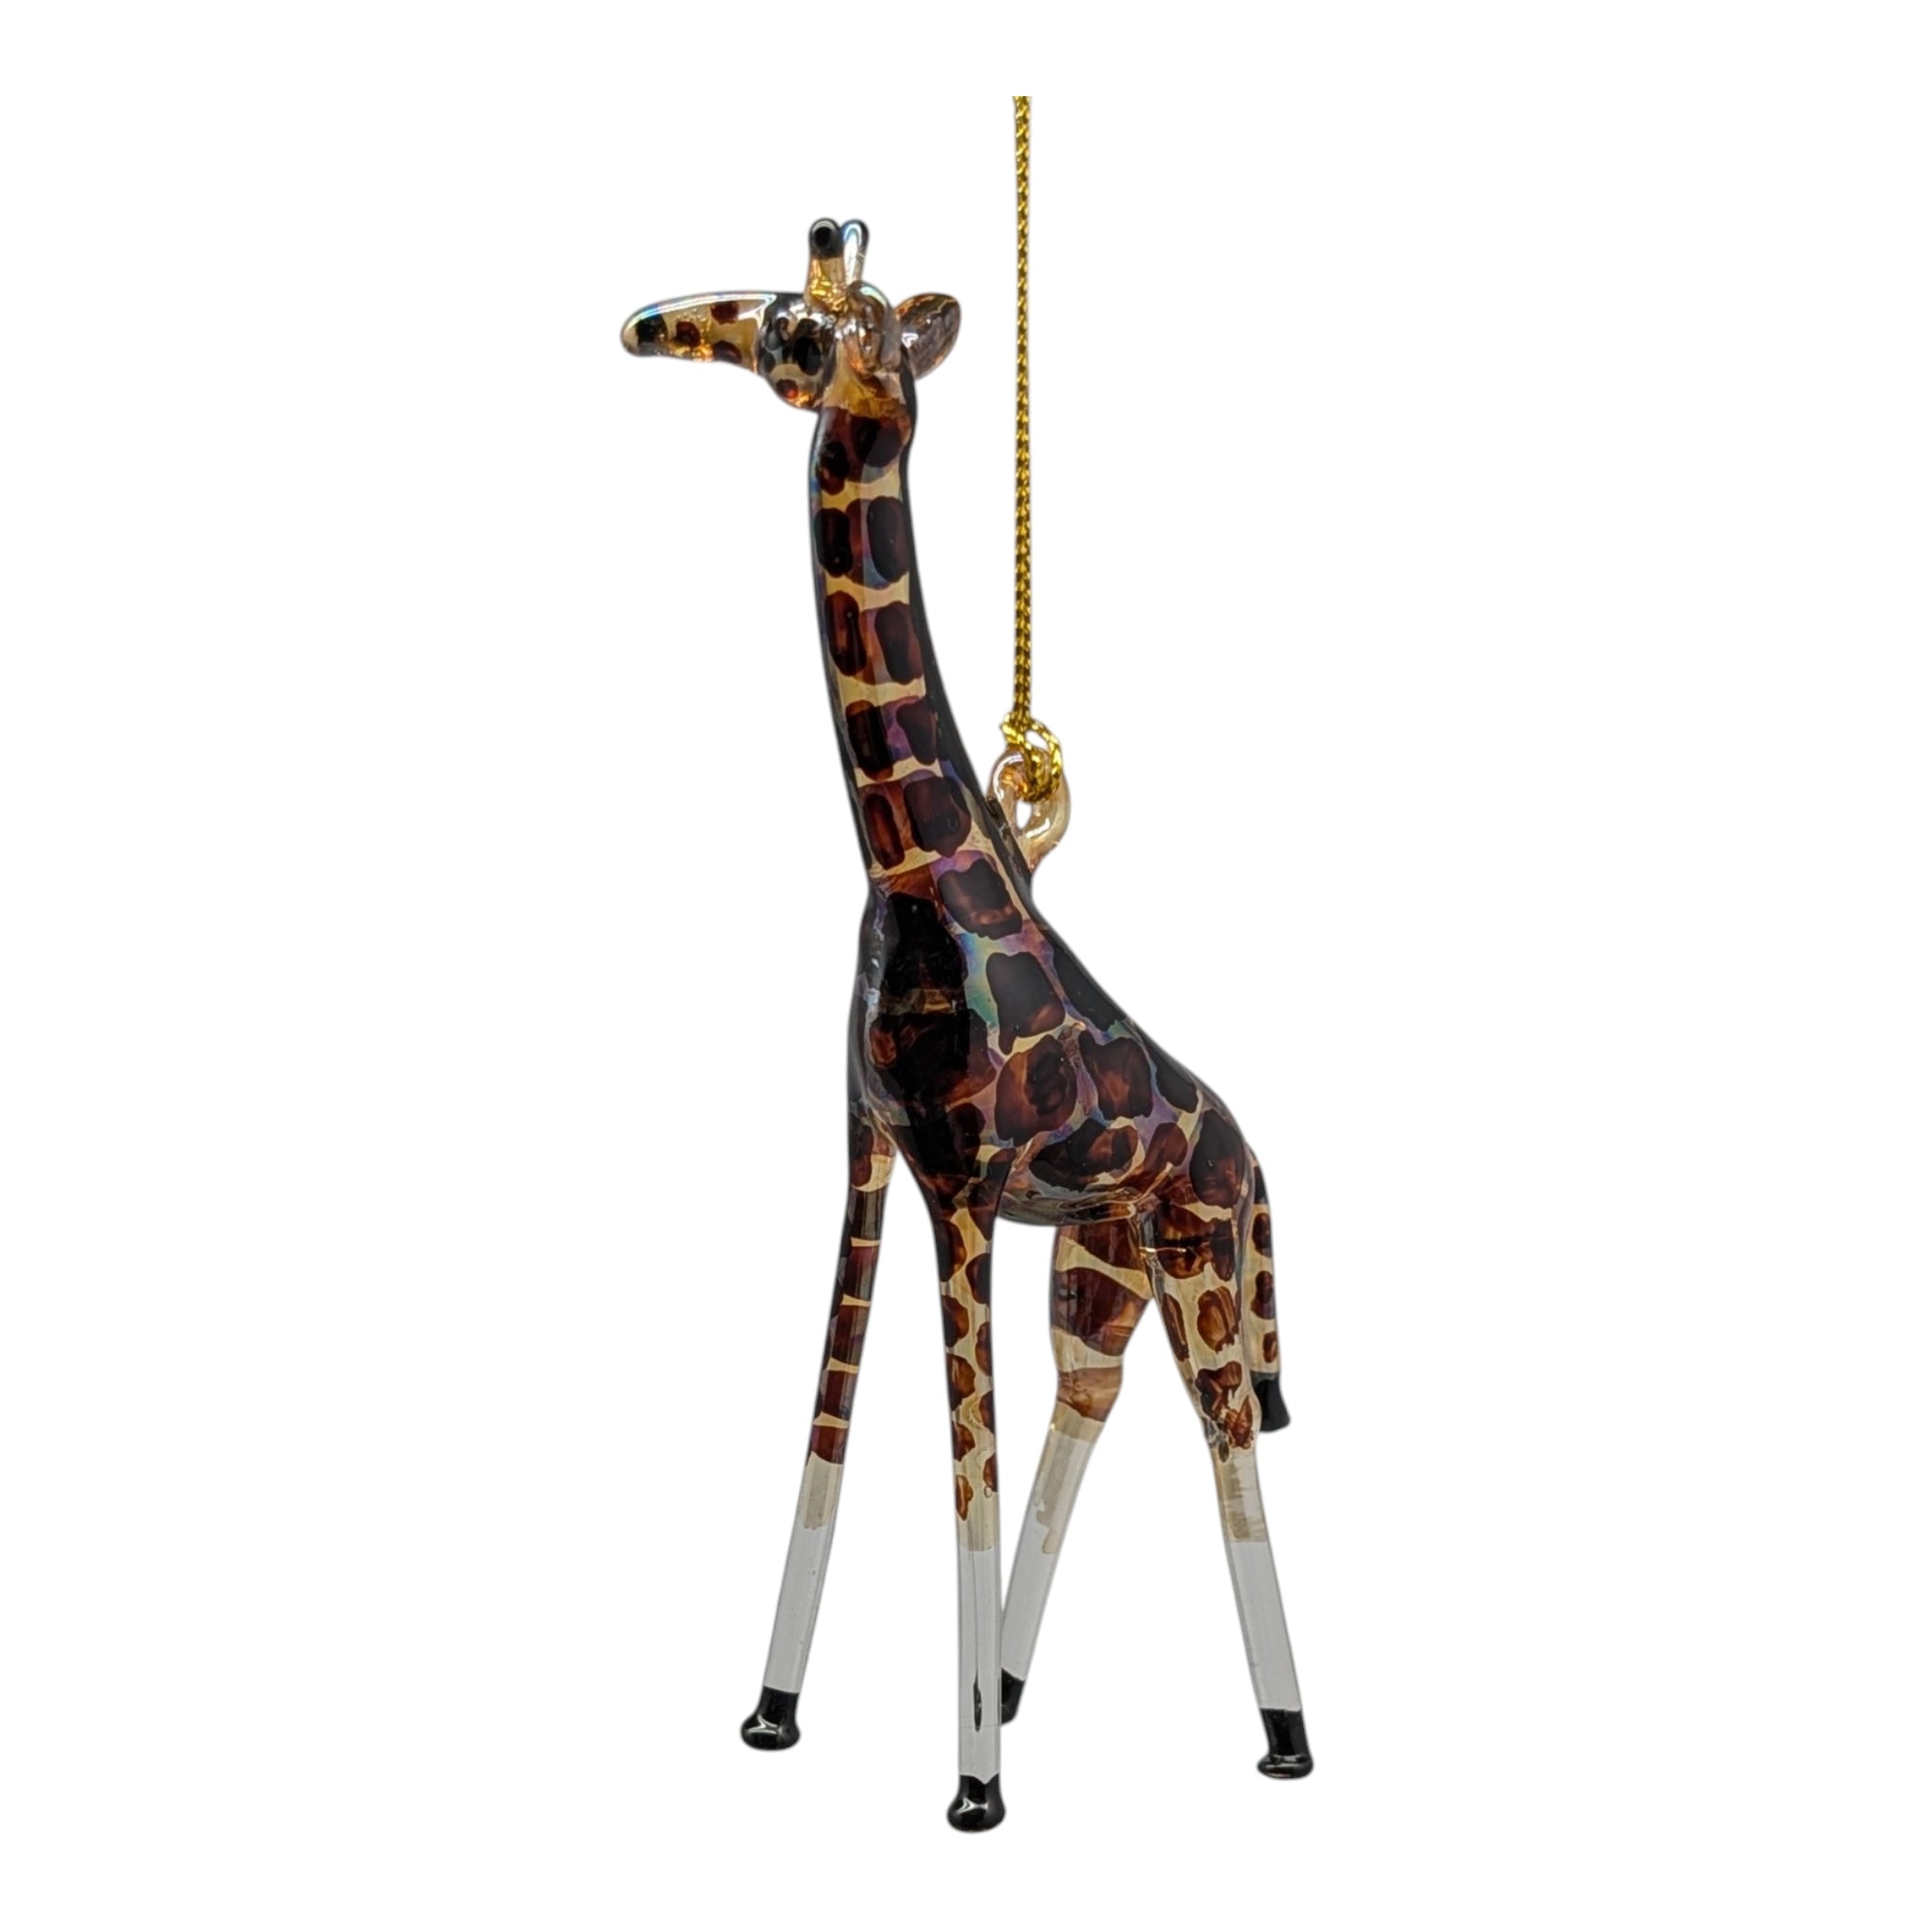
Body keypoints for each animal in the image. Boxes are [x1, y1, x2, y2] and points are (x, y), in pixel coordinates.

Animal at [621, 219, 1312, 1831]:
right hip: (1100, 1264)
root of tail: (1252, 1156)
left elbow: (959, 1469)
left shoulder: (959, 1186)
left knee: (1224, 1426)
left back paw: (1282, 1737)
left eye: (812, 333)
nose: (657, 326)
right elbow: (829, 1426)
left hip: (1199, 1258)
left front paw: (974, 1794)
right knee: (1091, 1408)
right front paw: (775, 1714)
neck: (908, 867)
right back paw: (1004, 1681)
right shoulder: (870, 1158)